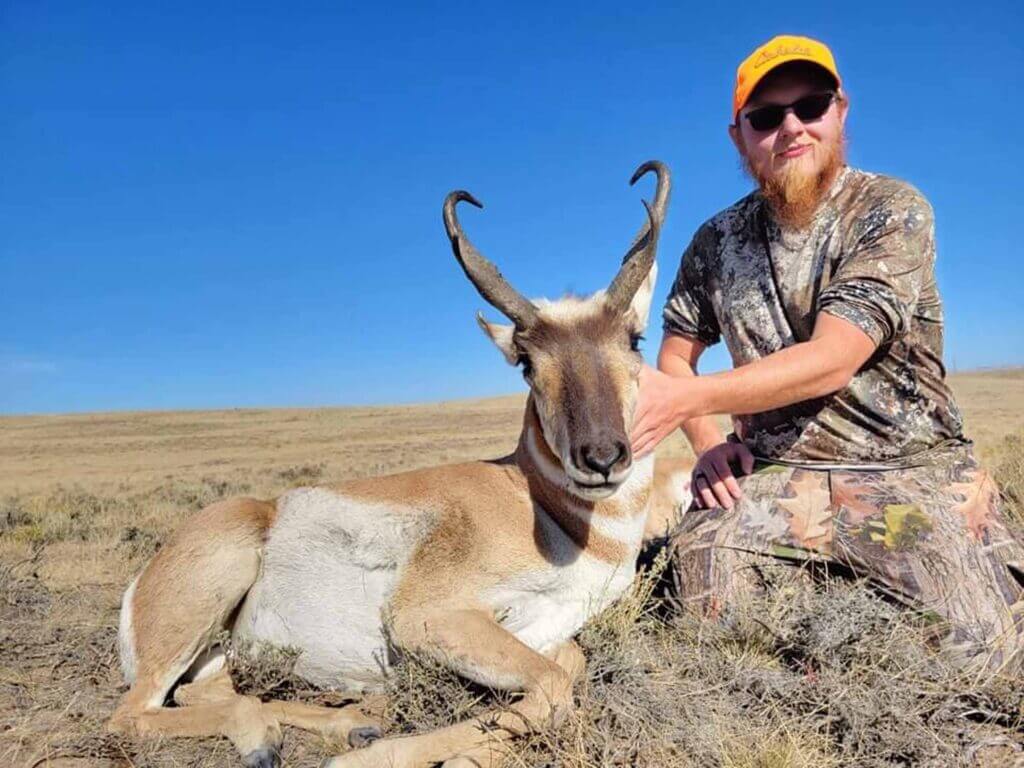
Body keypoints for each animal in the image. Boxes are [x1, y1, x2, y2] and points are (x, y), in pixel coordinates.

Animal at [108, 161, 689, 768]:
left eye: (635, 339)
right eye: (526, 362)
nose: (601, 457)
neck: (539, 505)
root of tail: (143, 580)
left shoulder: (544, 630)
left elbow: (567, 671)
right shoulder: (429, 616)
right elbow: (554, 686)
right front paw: (389, 759)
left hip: (216, 652)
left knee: (205, 692)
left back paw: (349, 725)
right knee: (133, 714)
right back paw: (283, 740)